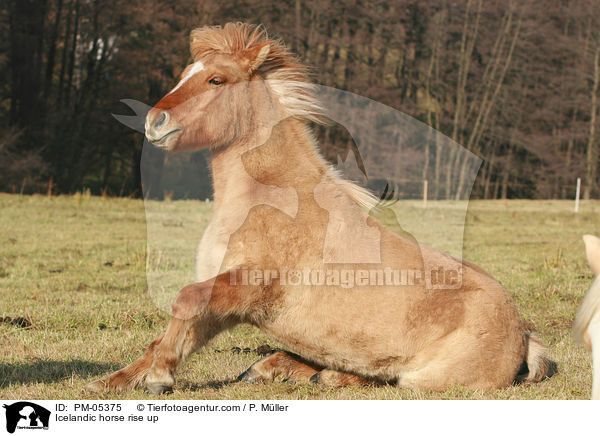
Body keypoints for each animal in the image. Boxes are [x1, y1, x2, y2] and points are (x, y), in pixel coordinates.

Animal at [86, 23, 552, 396]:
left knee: (385, 378)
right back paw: (271, 368)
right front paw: (112, 381)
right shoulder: (225, 302)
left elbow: (184, 300)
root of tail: (524, 337)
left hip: (424, 379)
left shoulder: (251, 287)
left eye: (216, 79)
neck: (271, 201)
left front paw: (159, 378)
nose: (154, 123)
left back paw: (315, 374)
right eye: (185, 75)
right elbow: (174, 329)